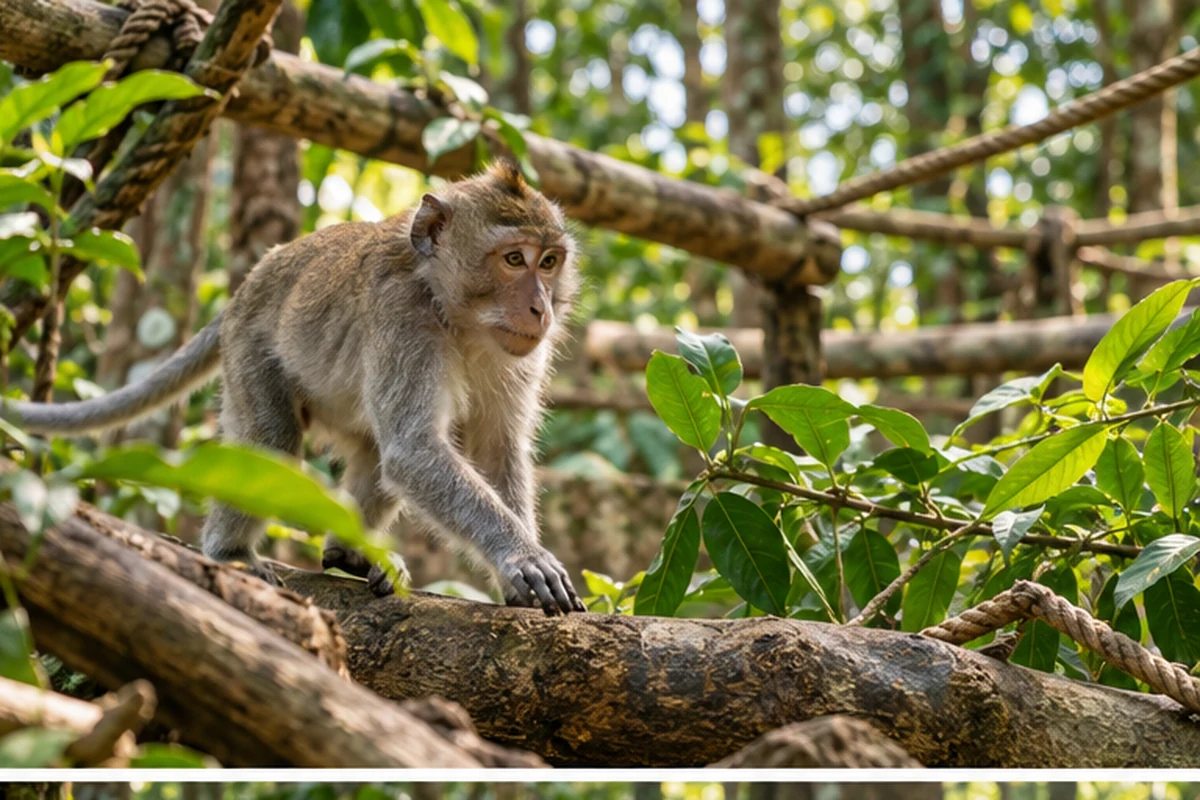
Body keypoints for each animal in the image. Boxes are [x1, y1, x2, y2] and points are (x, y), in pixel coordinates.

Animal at [4, 161, 585, 614]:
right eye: (514, 259)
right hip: (249, 356)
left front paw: (514, 575)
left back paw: (351, 555)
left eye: (549, 261)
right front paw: (522, 557)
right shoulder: (401, 318)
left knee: (371, 449)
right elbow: (414, 451)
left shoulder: (521, 356)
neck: (453, 312)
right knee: (273, 442)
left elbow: (495, 450)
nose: (542, 308)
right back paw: (228, 552)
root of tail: (244, 291)